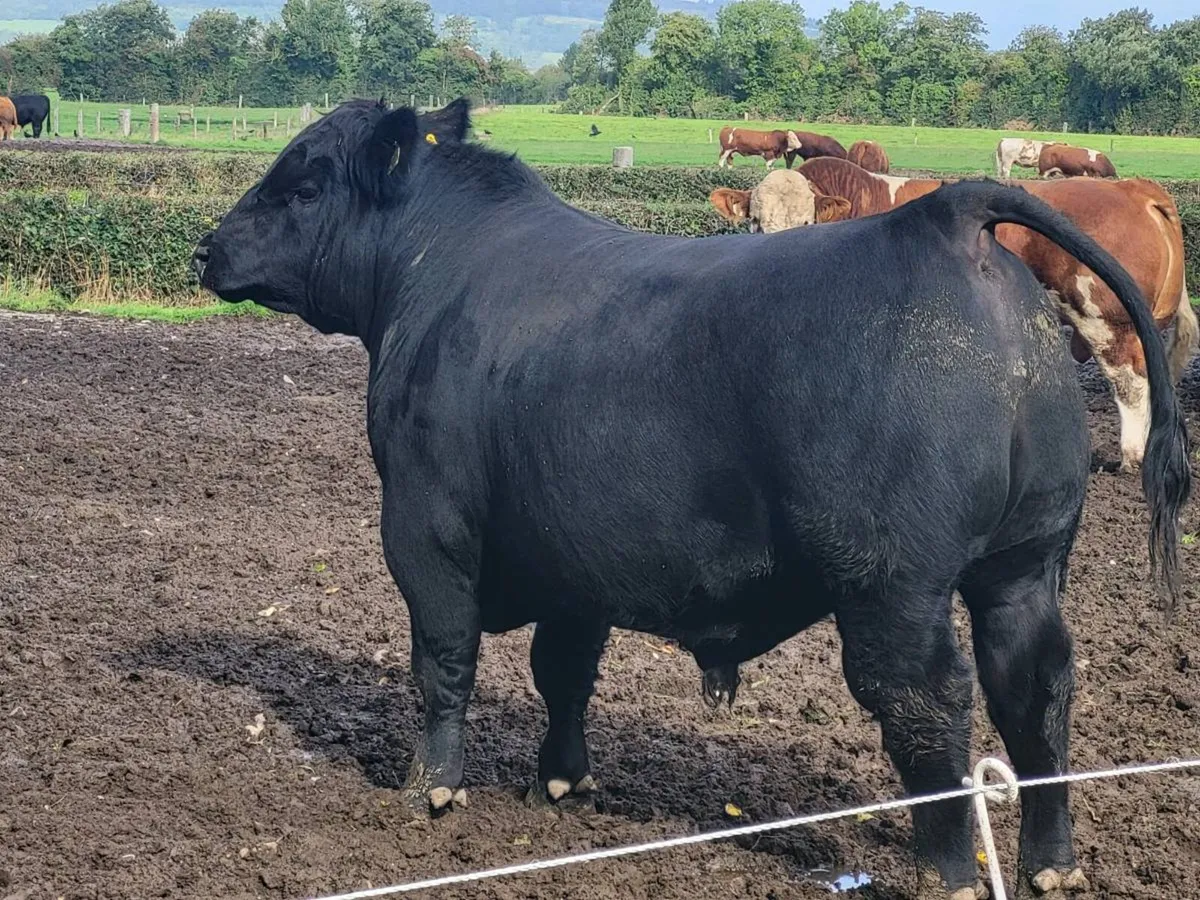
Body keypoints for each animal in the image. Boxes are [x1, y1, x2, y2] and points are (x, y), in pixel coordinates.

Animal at [710, 157, 1197, 473]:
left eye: (808, 222)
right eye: (754, 221)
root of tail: (1133, 188)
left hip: (1106, 319)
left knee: (1129, 380)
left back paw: (1131, 456)